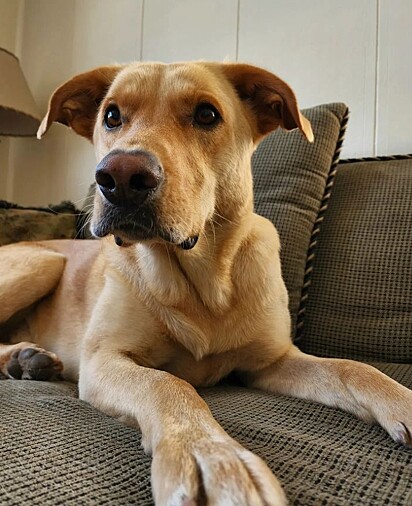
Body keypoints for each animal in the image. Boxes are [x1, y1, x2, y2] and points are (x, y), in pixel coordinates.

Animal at [0, 61, 412, 504]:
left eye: (206, 114)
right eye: (111, 116)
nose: (119, 176)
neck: (202, 284)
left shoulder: (272, 361)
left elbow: (352, 369)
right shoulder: (103, 360)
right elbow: (168, 384)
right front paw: (210, 456)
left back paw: (26, 360)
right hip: (43, 261)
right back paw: (22, 357)